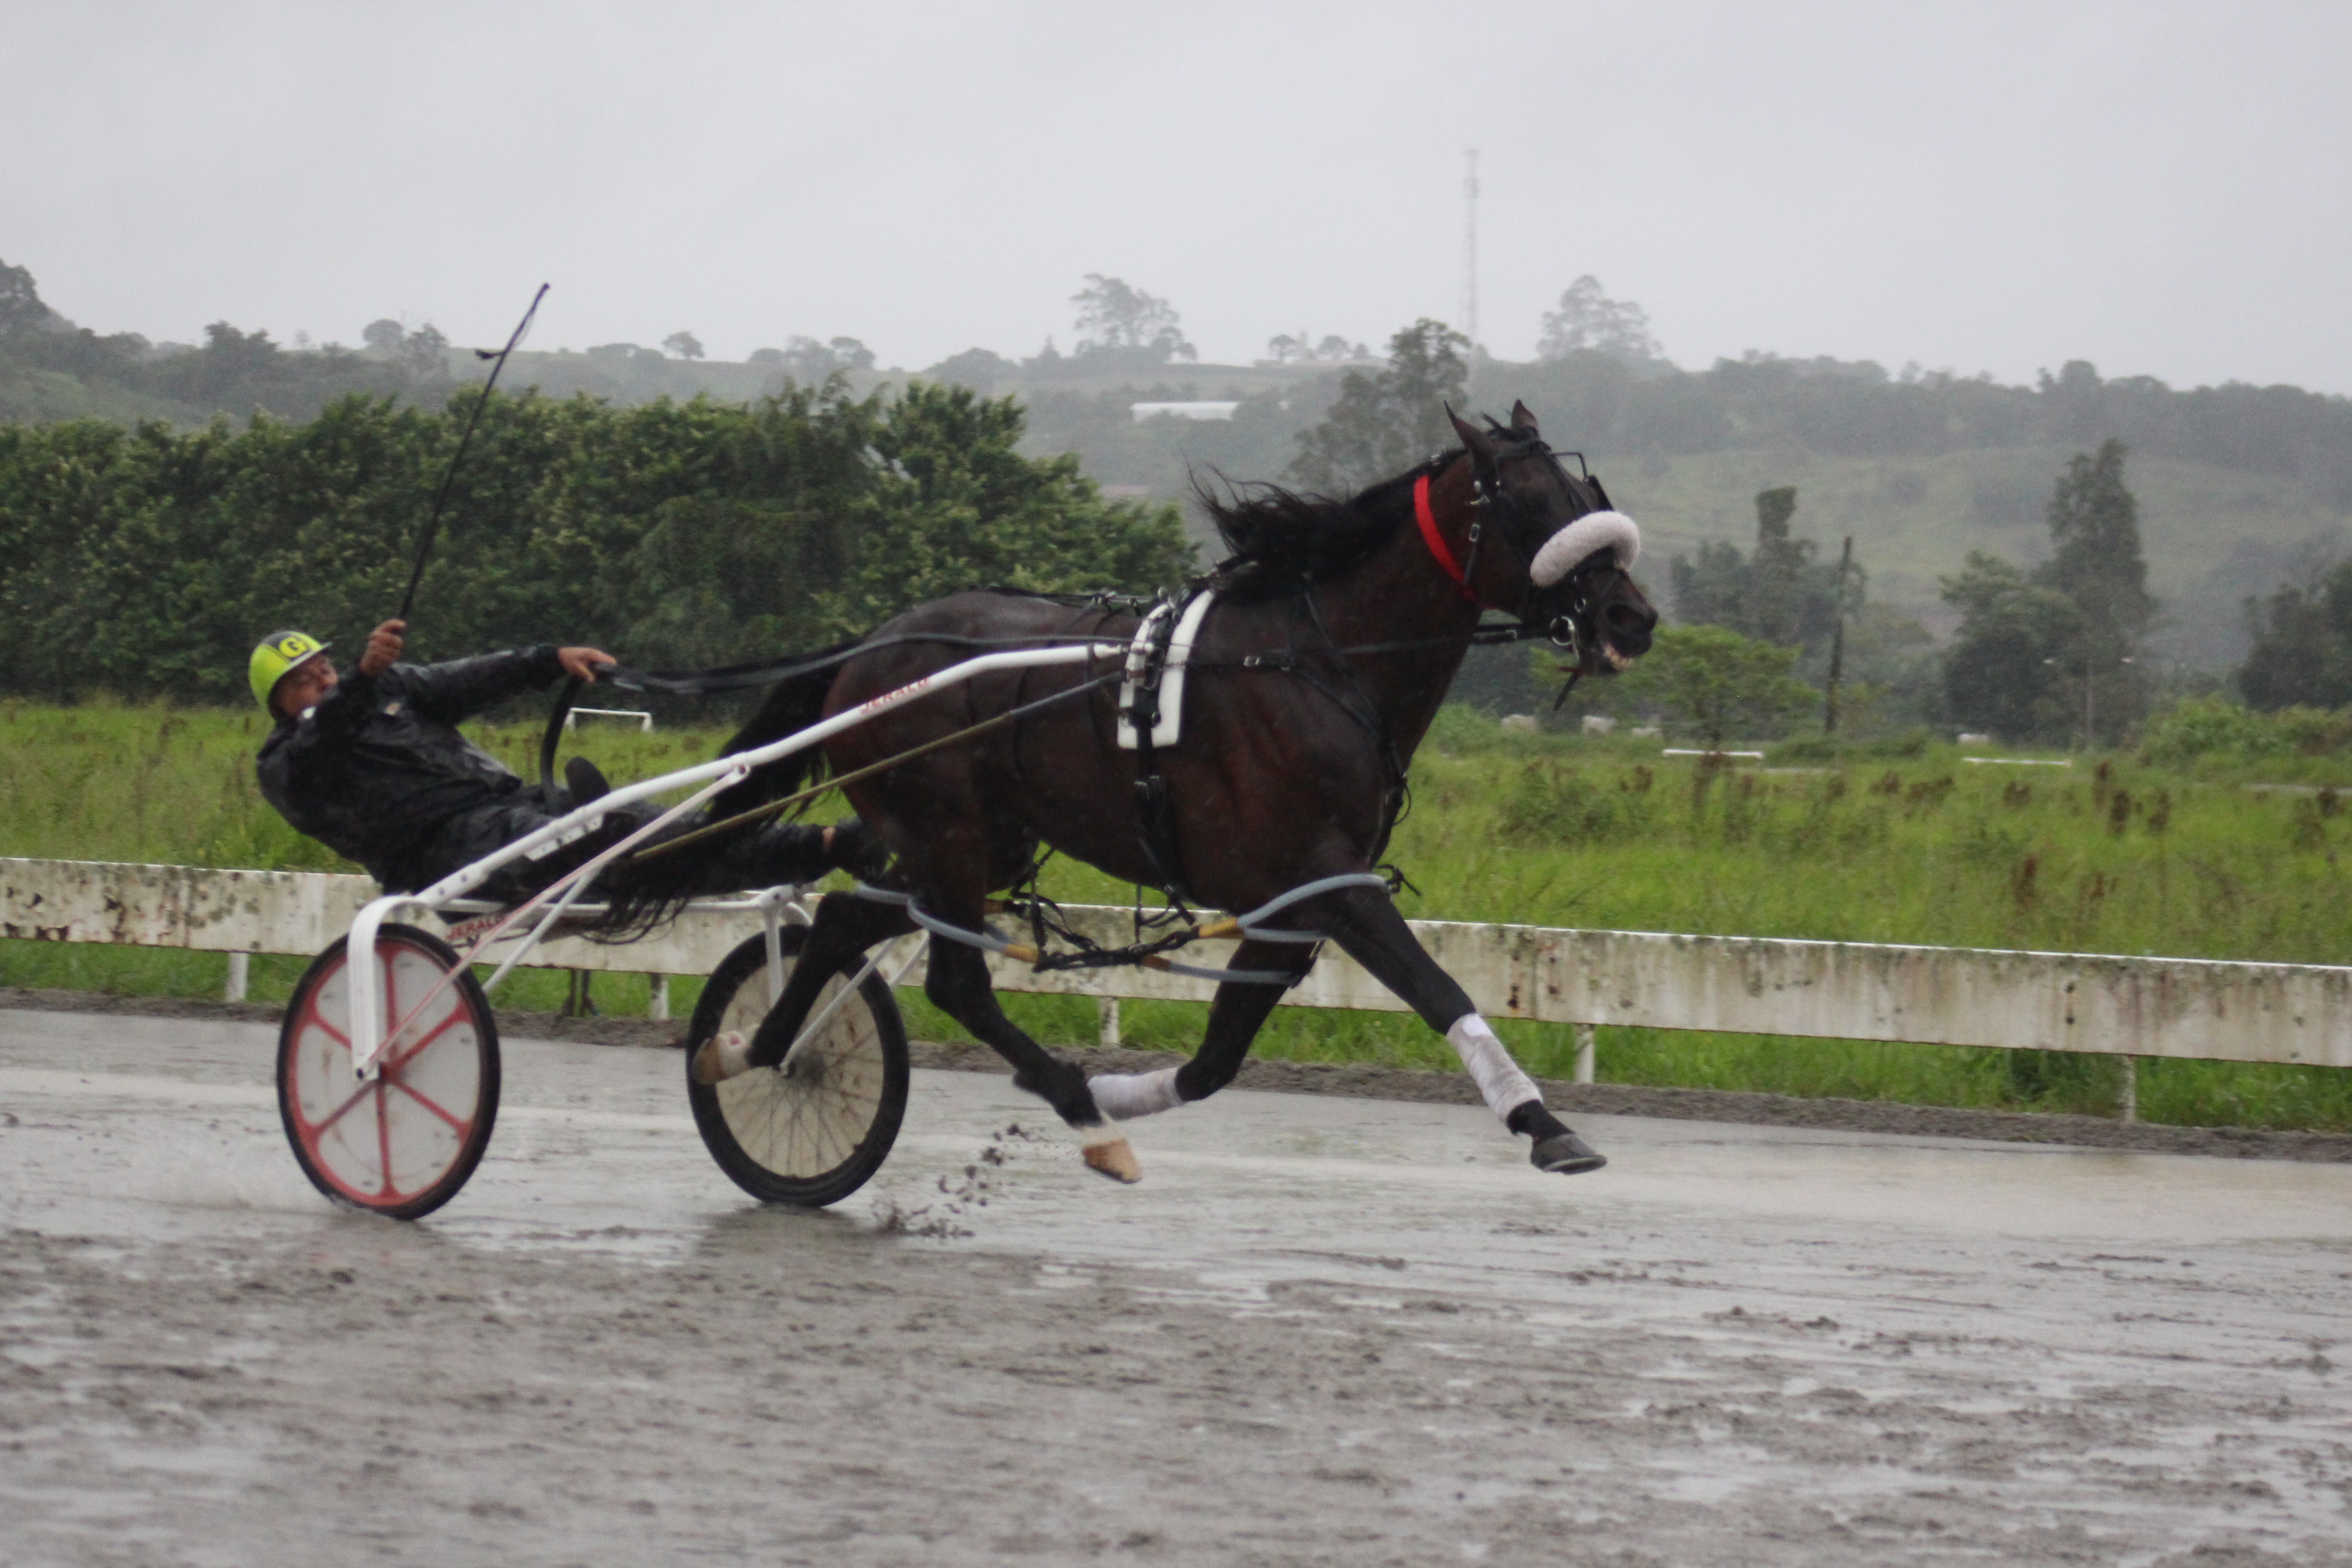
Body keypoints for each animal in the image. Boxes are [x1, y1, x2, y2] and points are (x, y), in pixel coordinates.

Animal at [677, 403, 1657, 1182]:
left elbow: (1217, 1055)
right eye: (1532, 505)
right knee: (955, 981)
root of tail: (871, 647)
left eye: (1586, 494)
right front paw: (1545, 1124)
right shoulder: (1328, 881)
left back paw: (758, 1048)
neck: (1314, 661)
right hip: (945, 834)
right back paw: (1078, 1114)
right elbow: (1438, 987)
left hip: (975, 846)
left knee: (846, 920)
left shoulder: (1290, 905)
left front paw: (1125, 1087)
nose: (1631, 617)